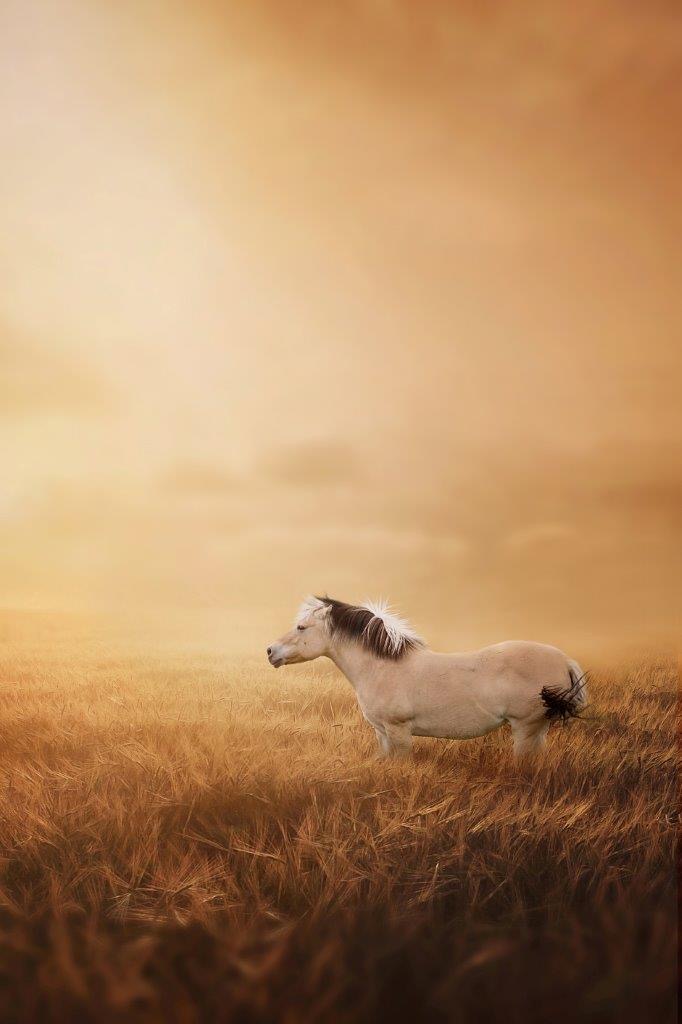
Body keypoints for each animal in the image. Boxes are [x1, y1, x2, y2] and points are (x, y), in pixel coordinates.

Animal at [267, 595, 587, 759]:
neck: (382, 669)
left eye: (301, 627)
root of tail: (565, 660)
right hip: (538, 729)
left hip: (525, 728)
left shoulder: (398, 731)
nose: (271, 651)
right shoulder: (382, 733)